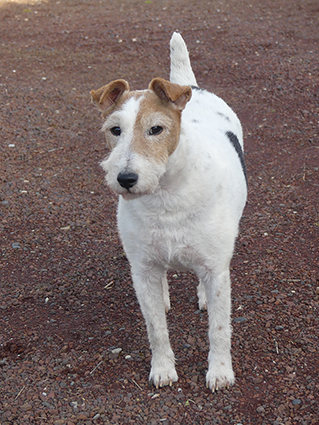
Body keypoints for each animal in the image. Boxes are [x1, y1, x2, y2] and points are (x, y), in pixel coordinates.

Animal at [91, 33, 249, 390]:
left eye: (156, 129)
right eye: (115, 130)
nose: (126, 179)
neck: (165, 198)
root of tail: (190, 86)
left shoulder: (216, 270)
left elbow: (219, 330)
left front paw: (220, 372)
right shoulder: (143, 268)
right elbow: (156, 329)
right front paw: (163, 368)